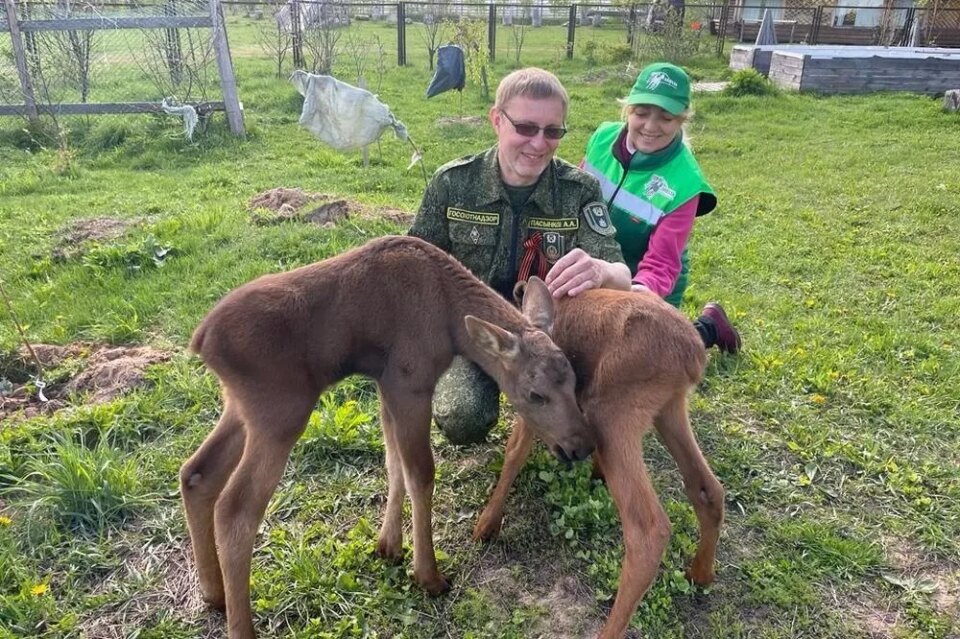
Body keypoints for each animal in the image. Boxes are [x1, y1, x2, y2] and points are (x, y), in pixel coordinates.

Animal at [180, 236, 592, 639]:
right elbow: (421, 474)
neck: (450, 320)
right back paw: (241, 624)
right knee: (235, 510)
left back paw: (214, 593)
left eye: (573, 378)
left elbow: (394, 462)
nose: (580, 445)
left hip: (240, 408)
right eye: (535, 394)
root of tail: (201, 341)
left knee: (196, 473)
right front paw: (428, 575)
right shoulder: (410, 380)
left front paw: (389, 545)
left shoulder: (385, 382)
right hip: (279, 413)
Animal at [476, 288, 724, 636]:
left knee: (648, 529)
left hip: (614, 413)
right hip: (669, 409)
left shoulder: (536, 408)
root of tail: (692, 353)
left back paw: (610, 630)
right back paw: (700, 574)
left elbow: (514, 454)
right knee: (707, 489)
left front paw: (486, 525)